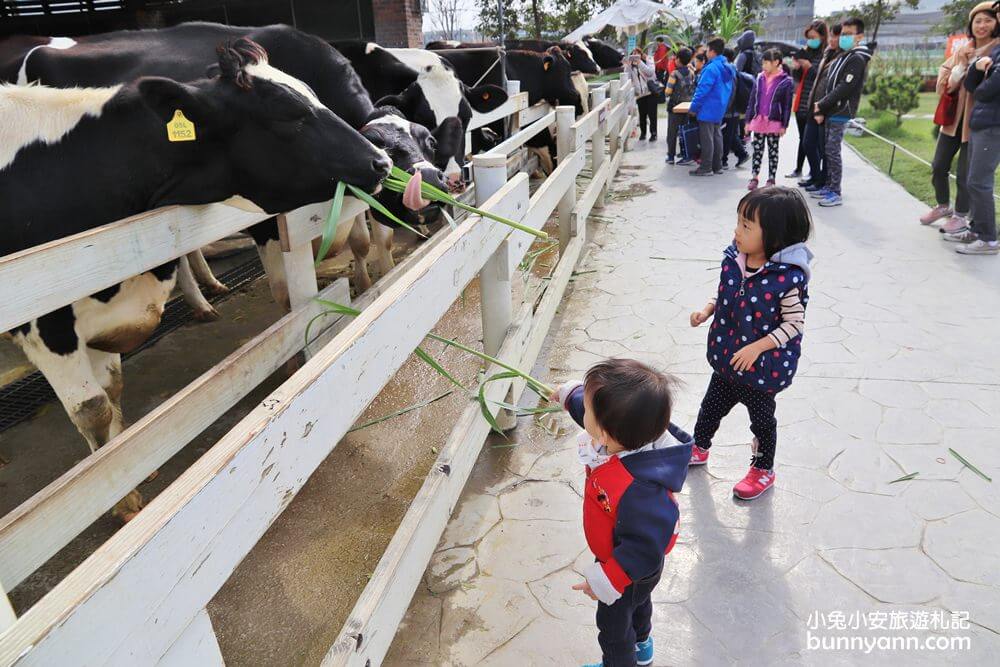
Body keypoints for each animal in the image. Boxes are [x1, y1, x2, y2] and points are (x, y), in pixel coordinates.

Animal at [0, 40, 390, 516]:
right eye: (288, 115)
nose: (381, 162)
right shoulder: (45, 323)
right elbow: (93, 408)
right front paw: (120, 500)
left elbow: (112, 391)